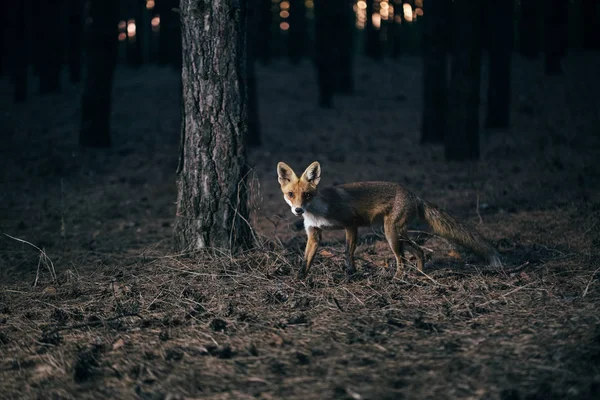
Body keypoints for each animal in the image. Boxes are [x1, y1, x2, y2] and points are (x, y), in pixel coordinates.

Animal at [276, 161, 502, 280]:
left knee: (402, 259)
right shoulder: (314, 234)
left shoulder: (351, 224)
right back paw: (420, 275)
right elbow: (306, 260)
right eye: (290, 194)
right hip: (399, 235)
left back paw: (398, 279)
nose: (298, 210)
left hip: (391, 234)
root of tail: (413, 194)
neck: (317, 211)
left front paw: (352, 273)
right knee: (419, 251)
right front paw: (300, 279)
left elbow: (348, 253)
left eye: (307, 195)